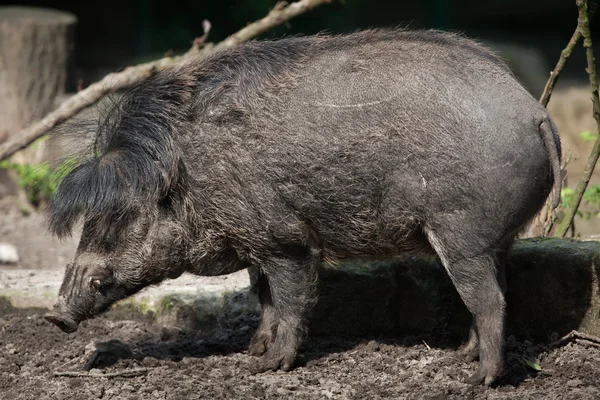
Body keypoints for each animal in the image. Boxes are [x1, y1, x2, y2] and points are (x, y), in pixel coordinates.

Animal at [43, 28, 564, 384]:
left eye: (120, 217)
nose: (55, 316)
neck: (189, 180)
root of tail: (536, 112)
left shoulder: (285, 240)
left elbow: (291, 299)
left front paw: (270, 367)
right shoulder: (255, 244)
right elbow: (264, 298)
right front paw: (253, 352)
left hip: (462, 235)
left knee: (488, 299)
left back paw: (476, 379)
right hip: (493, 240)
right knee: (495, 292)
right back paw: (460, 357)